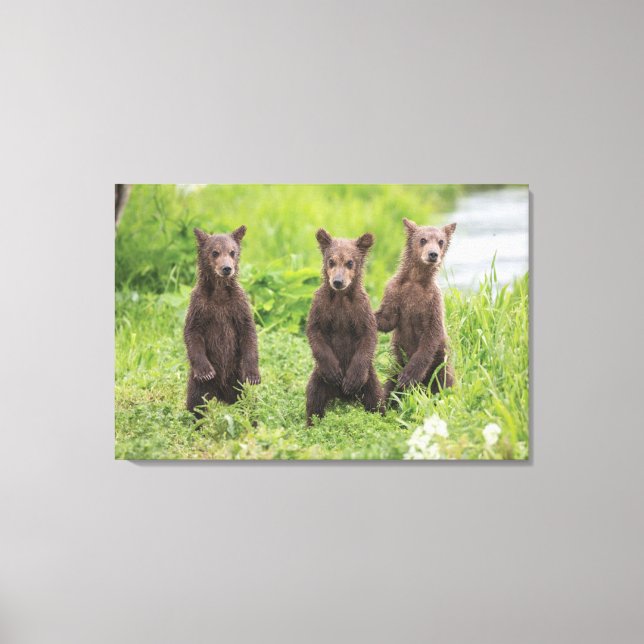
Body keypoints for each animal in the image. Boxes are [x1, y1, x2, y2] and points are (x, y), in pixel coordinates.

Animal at [184, 225, 260, 415]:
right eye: (215, 252)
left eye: (232, 252)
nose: (227, 268)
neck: (219, 292)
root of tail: (220, 395)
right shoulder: (200, 305)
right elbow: (192, 332)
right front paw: (206, 371)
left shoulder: (237, 305)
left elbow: (248, 331)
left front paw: (254, 375)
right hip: (199, 385)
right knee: (196, 403)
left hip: (236, 379)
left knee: (246, 402)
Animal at [305, 228, 385, 426]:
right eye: (331, 261)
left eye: (350, 262)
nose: (338, 281)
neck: (340, 297)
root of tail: (341, 396)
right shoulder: (321, 306)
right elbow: (314, 332)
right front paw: (334, 372)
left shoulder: (361, 309)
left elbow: (369, 336)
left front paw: (351, 381)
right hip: (318, 379)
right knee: (313, 399)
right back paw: (311, 424)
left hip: (370, 380)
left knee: (376, 400)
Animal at [375, 218, 457, 400]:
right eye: (423, 239)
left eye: (441, 241)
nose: (433, 254)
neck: (416, 279)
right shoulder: (395, 292)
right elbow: (388, 319)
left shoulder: (432, 301)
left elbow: (430, 335)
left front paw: (409, 376)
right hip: (397, 362)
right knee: (390, 384)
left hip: (440, 363)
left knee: (443, 381)